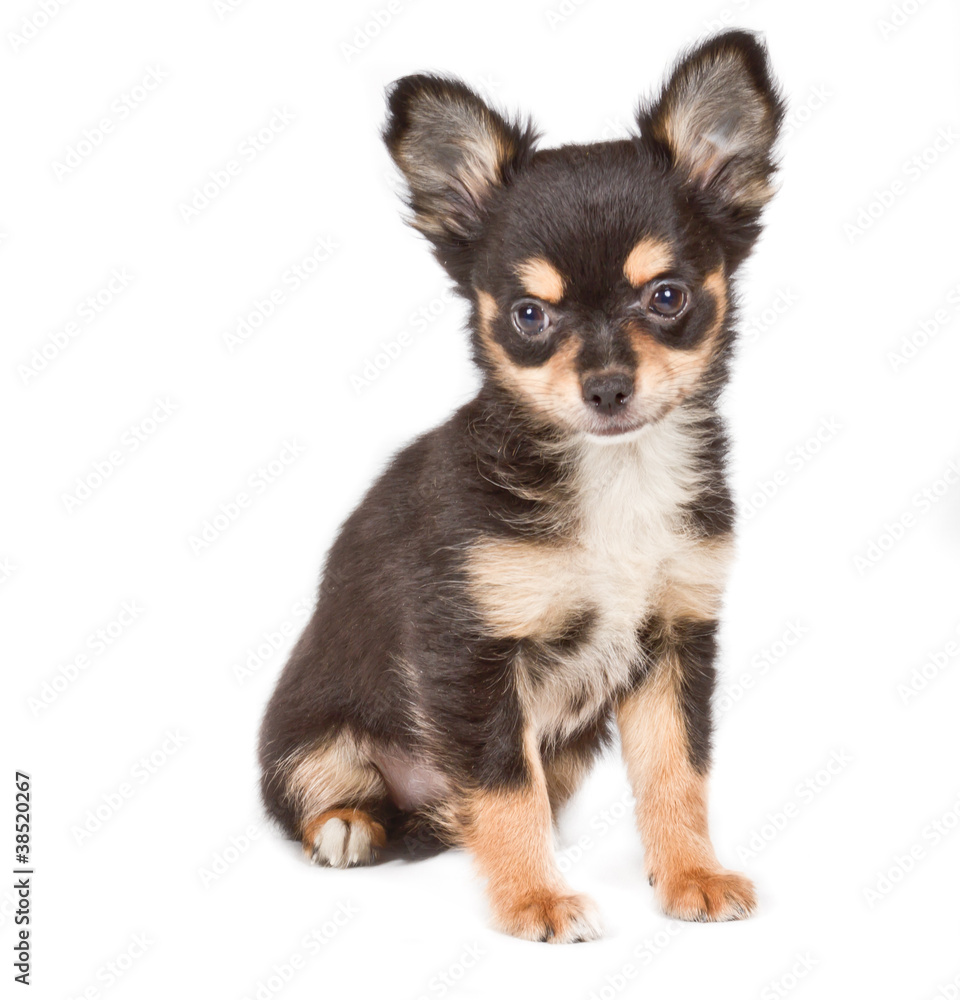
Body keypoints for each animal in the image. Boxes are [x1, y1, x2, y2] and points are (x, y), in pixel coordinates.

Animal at [258, 27, 784, 940]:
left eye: (668, 296)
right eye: (529, 316)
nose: (606, 388)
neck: (614, 474)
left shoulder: (675, 638)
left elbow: (676, 773)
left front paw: (691, 872)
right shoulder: (471, 655)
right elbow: (505, 789)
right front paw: (534, 898)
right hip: (308, 728)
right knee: (325, 790)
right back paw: (352, 824)